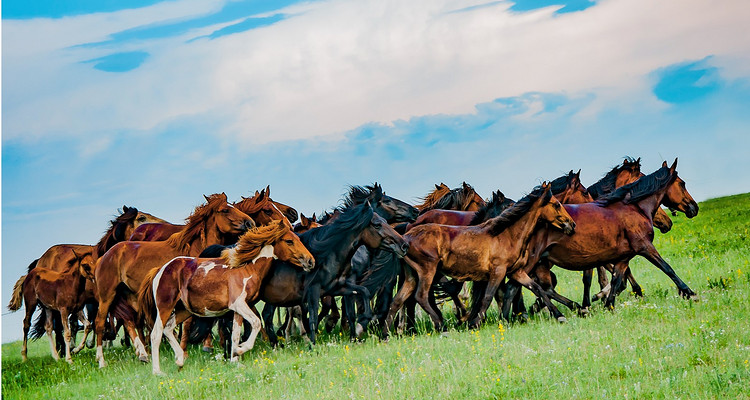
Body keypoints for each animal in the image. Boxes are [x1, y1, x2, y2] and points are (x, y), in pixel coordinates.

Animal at [91, 194, 254, 368]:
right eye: (225, 210)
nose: (250, 223)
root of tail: (104, 256)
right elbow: (188, 323)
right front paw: (184, 352)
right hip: (107, 296)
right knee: (100, 323)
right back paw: (102, 361)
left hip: (129, 295)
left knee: (132, 321)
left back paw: (144, 354)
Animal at [141, 220, 314, 374]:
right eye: (289, 241)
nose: (310, 261)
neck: (246, 269)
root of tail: (160, 270)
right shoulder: (239, 305)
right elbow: (256, 323)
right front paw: (240, 350)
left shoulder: (238, 310)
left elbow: (235, 334)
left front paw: (235, 359)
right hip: (165, 307)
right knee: (156, 334)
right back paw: (157, 371)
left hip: (184, 310)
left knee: (169, 329)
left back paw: (180, 360)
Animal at [388, 183, 576, 332]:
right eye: (557, 204)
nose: (572, 224)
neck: (506, 234)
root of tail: (406, 236)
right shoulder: (497, 272)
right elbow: (488, 296)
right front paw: (476, 323)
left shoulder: (516, 272)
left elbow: (538, 289)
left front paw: (559, 315)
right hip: (427, 271)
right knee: (421, 297)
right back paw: (441, 326)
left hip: (412, 276)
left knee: (399, 300)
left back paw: (389, 332)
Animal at [502, 158, 704, 320]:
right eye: (682, 183)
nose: (694, 208)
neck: (634, 208)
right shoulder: (644, 247)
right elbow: (667, 268)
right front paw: (690, 293)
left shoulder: (622, 258)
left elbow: (616, 281)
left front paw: (608, 305)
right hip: (531, 263)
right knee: (515, 287)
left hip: (539, 263)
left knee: (527, 287)